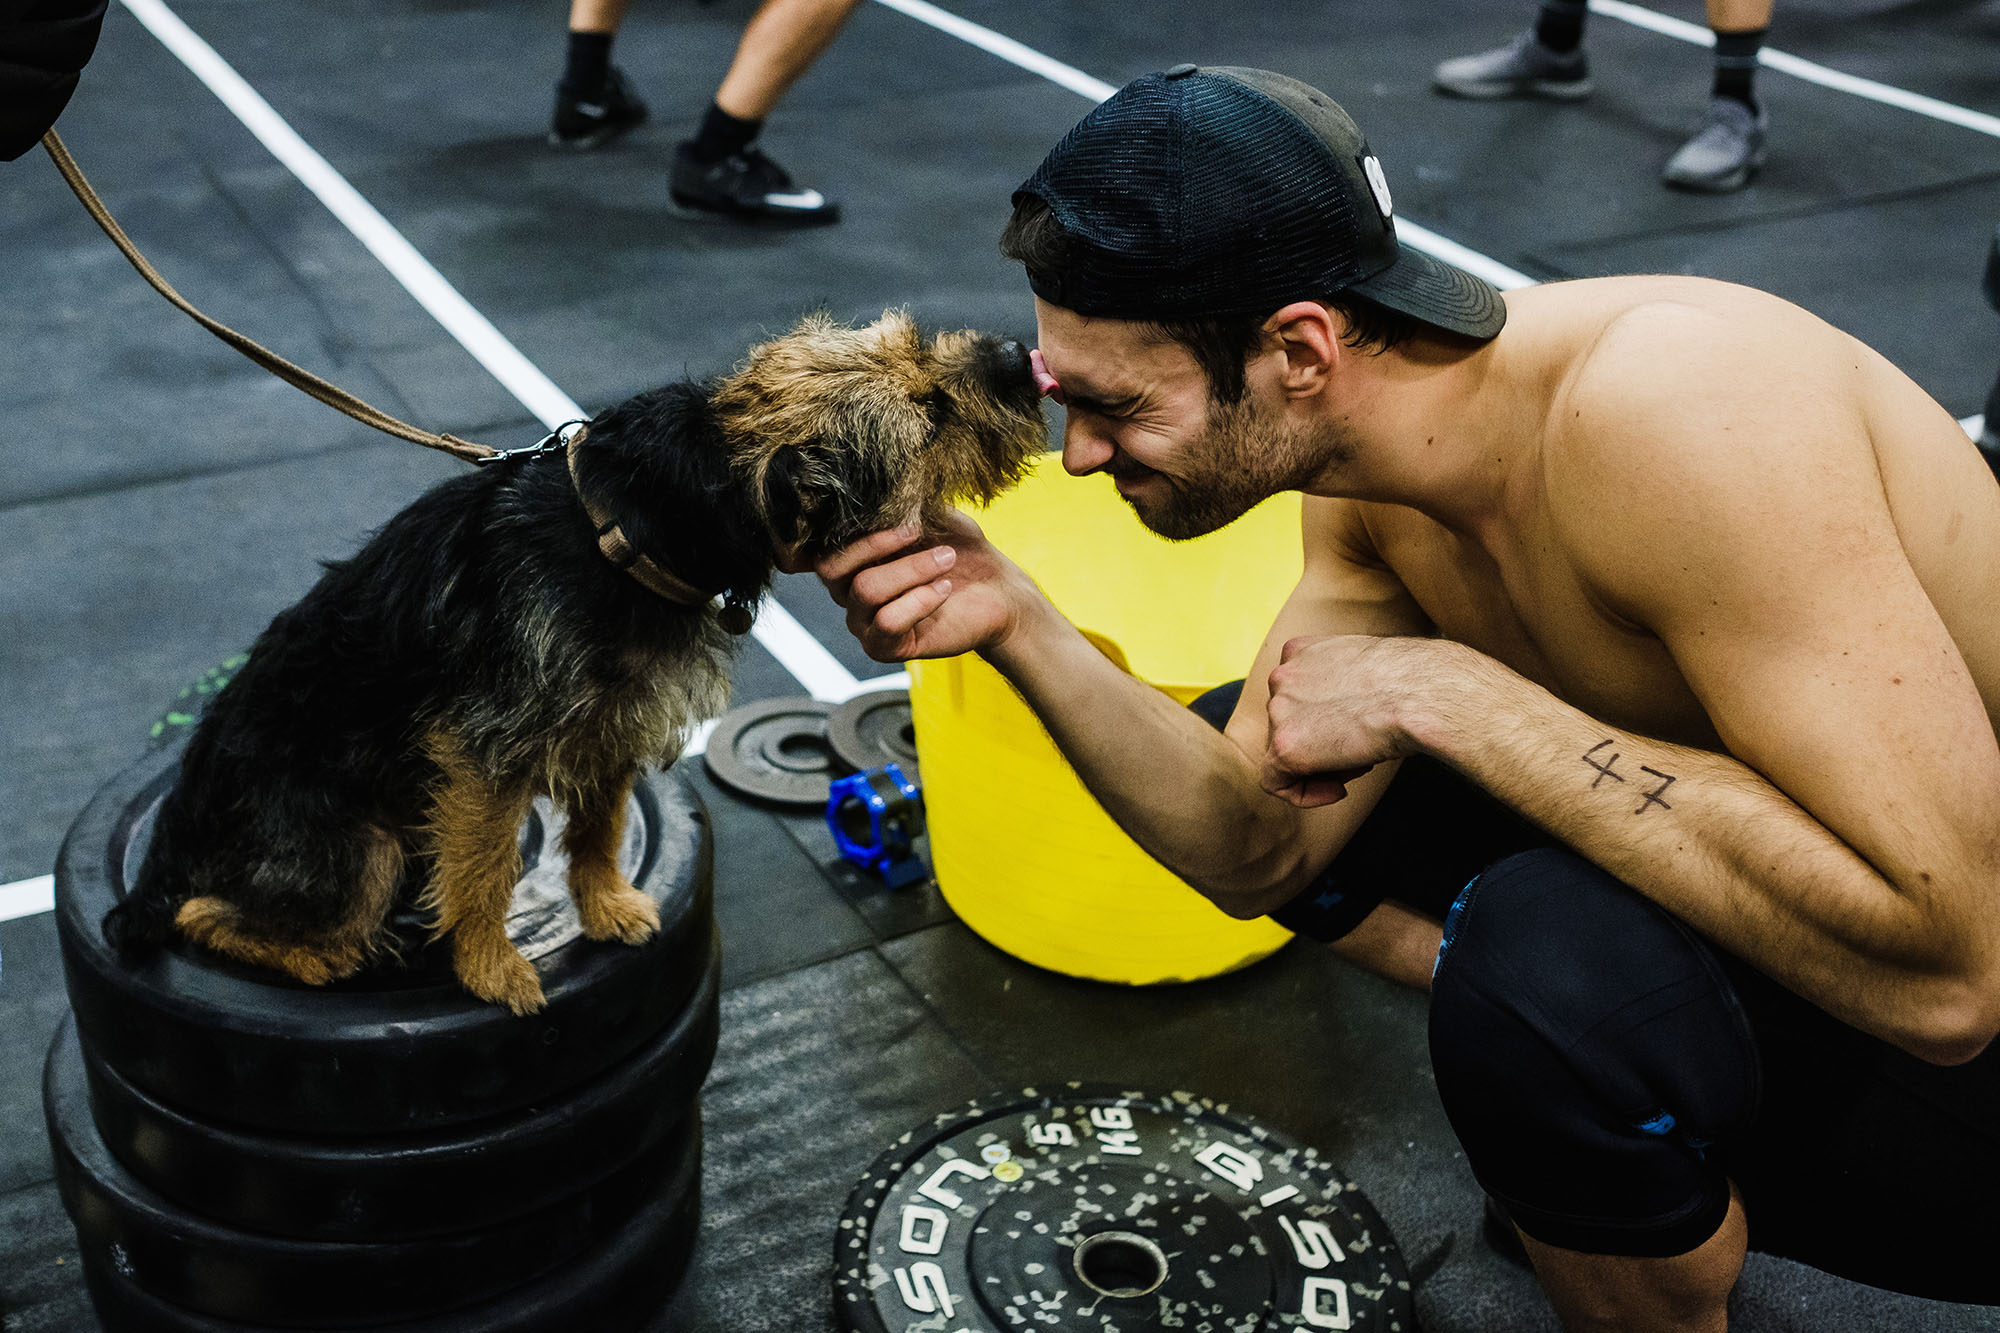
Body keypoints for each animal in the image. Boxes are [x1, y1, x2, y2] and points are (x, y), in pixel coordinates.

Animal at [105, 312, 1048, 1012]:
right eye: (929, 413)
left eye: (918, 344)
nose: (1015, 351)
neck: (636, 527)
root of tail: (180, 810)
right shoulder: (488, 752)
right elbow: (484, 866)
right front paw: (490, 967)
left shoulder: (612, 719)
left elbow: (597, 826)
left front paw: (607, 905)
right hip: (359, 849)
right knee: (191, 913)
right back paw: (321, 955)